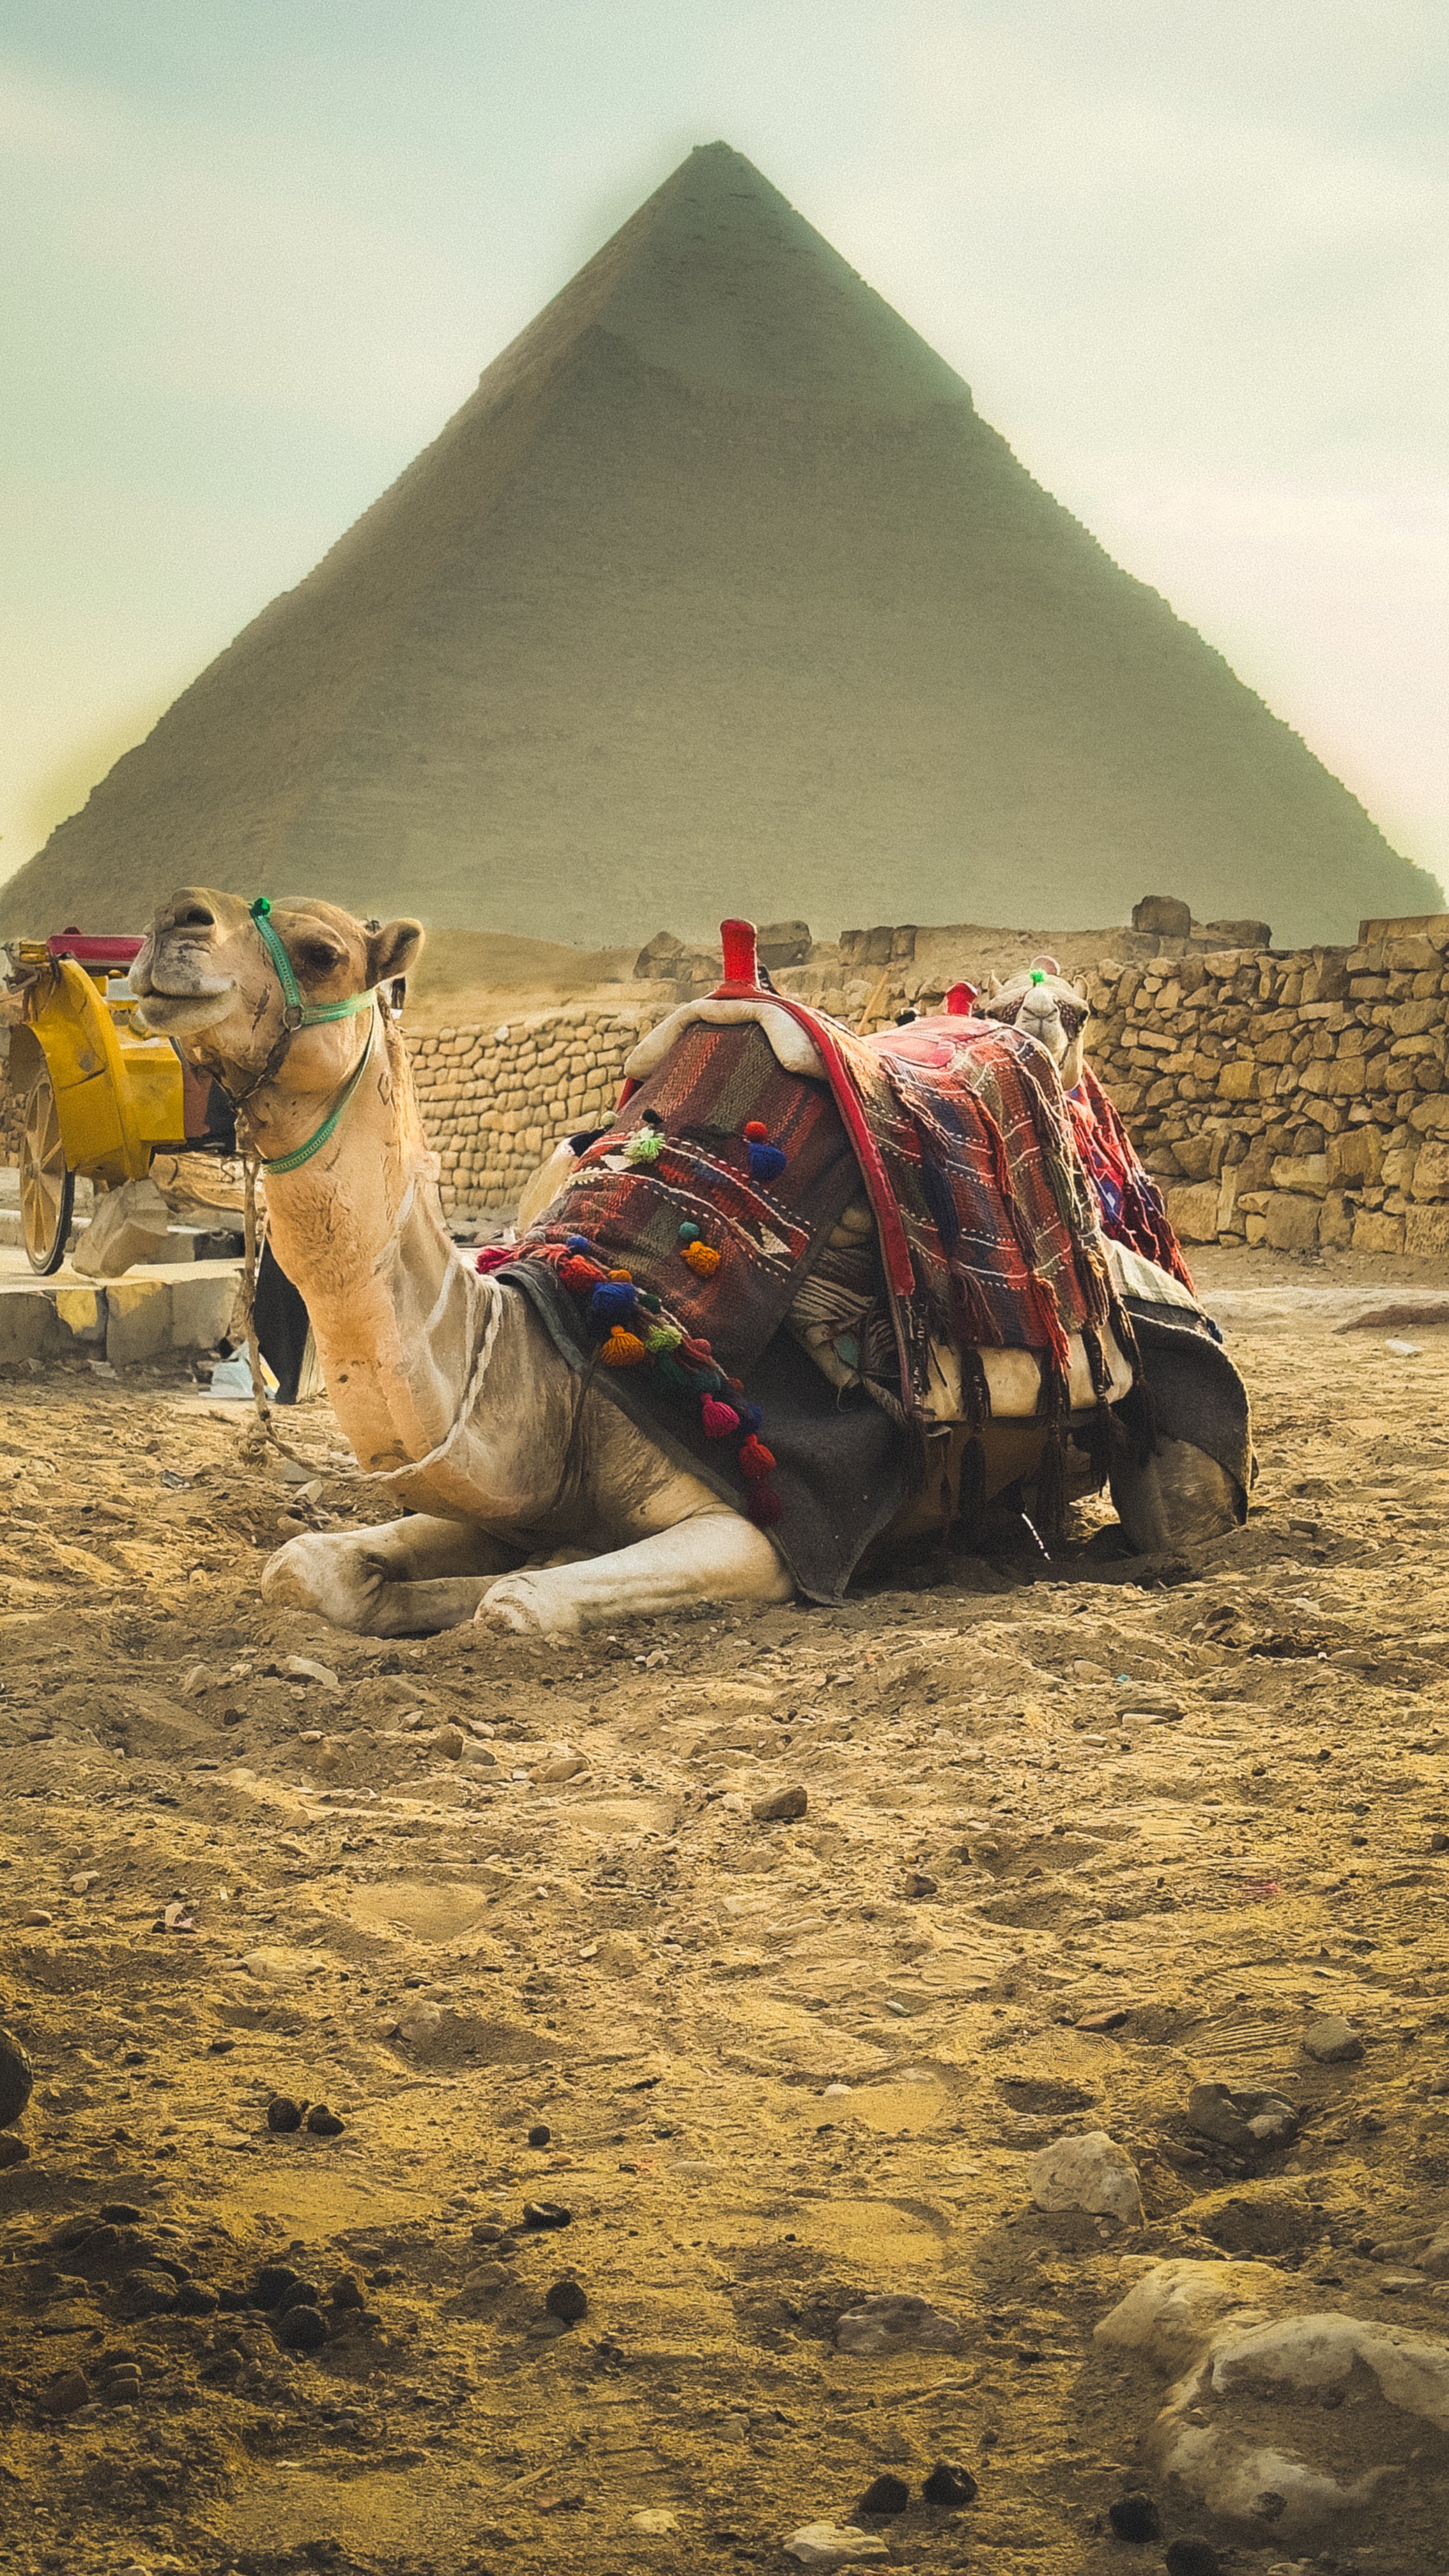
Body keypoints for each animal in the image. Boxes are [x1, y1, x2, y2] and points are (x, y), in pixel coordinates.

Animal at [131, 889, 1247, 1638]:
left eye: (321, 950)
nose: (171, 921)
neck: (554, 1350)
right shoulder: (510, 1487)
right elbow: (300, 1567)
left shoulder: (778, 1520)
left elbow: (516, 1599)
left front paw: (489, 1585)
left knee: (1180, 1519)